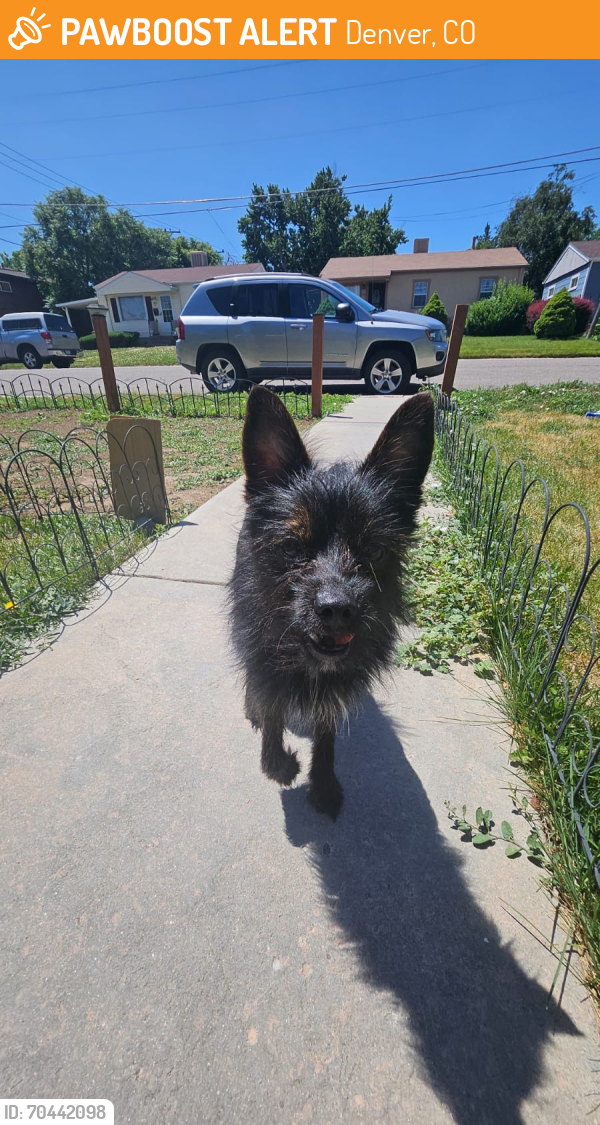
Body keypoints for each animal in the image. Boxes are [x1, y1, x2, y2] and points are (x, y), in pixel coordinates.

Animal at [228, 387, 430, 819]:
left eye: (373, 549)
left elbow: (326, 733)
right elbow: (271, 705)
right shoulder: (262, 653)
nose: (337, 609)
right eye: (291, 547)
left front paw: (322, 783)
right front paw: (277, 762)